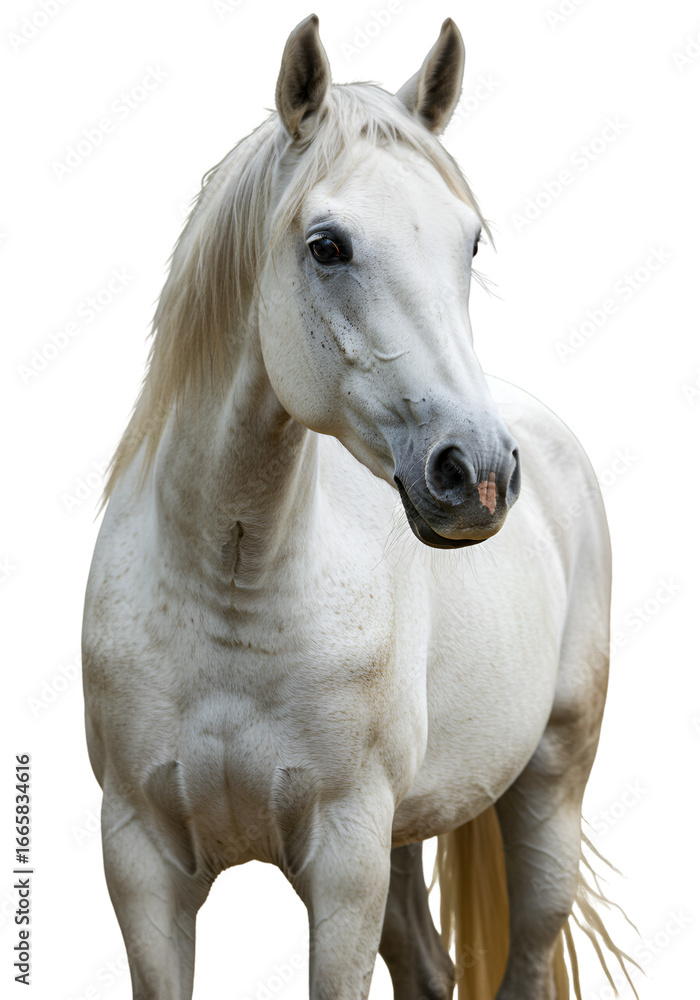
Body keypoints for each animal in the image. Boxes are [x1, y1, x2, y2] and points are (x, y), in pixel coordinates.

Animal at [82, 15, 636, 1000]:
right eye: (327, 245)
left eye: (469, 244)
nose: (476, 472)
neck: (234, 585)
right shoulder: (141, 861)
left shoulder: (343, 862)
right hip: (405, 837)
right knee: (428, 964)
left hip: (548, 790)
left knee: (529, 949)